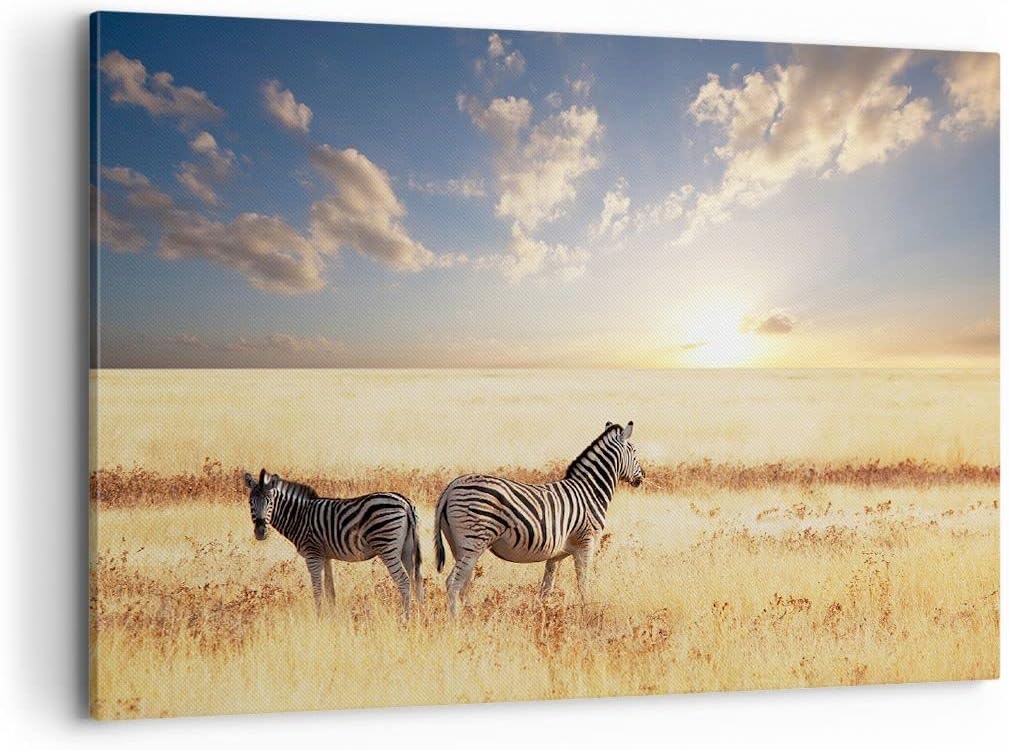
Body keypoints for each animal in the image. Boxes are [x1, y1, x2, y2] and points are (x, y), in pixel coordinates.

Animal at [243, 469, 423, 618]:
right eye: (251, 502)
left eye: (270, 502)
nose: (260, 532)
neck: (298, 516)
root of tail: (405, 502)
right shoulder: (326, 555)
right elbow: (330, 591)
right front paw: (332, 617)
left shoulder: (312, 554)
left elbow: (317, 590)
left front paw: (319, 618)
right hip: (407, 549)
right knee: (417, 578)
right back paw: (422, 615)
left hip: (387, 546)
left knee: (404, 580)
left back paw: (406, 618)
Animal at [433, 421, 644, 616]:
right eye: (634, 451)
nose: (643, 477)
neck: (589, 491)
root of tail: (452, 486)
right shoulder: (586, 542)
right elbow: (583, 582)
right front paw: (588, 611)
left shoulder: (556, 554)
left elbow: (546, 588)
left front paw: (541, 614)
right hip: (473, 542)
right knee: (453, 583)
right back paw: (456, 621)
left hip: (459, 545)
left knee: (463, 584)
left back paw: (471, 616)